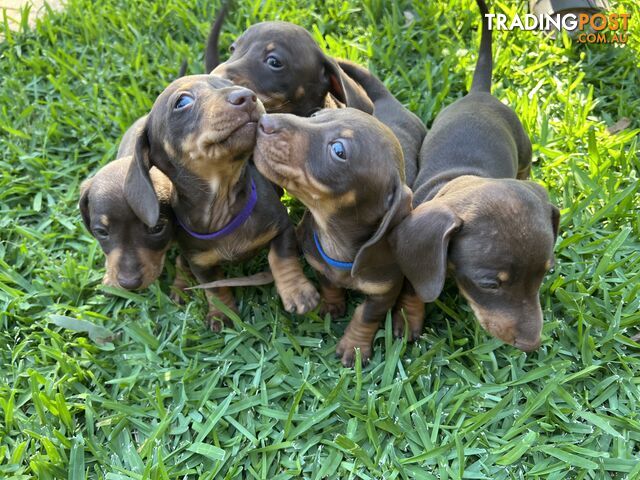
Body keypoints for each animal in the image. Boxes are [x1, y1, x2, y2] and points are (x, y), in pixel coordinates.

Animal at [122, 75, 318, 330]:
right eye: (182, 101)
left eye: (228, 83)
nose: (247, 96)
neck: (223, 204)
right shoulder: (201, 264)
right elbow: (215, 289)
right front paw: (221, 314)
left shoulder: (282, 227)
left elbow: (281, 258)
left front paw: (296, 291)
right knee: (180, 261)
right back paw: (180, 287)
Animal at [252, 107, 412, 366]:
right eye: (316, 114)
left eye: (339, 150)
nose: (263, 121)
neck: (337, 243)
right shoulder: (318, 263)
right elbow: (328, 284)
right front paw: (332, 305)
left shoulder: (385, 291)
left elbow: (365, 316)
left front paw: (354, 347)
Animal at [388, 0, 556, 352]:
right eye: (489, 284)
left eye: (545, 273)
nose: (531, 344)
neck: (464, 178)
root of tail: (480, 94)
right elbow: (415, 284)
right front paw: (409, 318)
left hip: (522, 144)